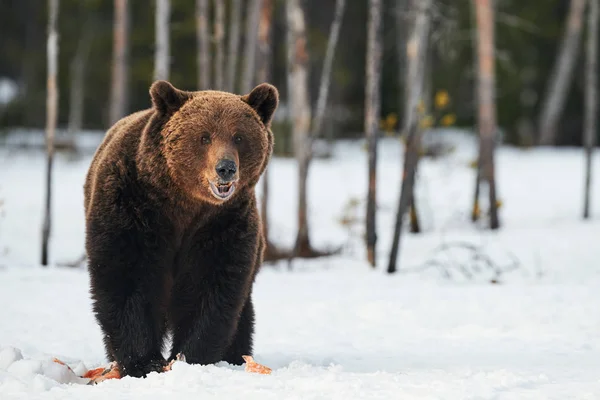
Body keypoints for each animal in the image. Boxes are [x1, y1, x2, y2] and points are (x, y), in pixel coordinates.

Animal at [83, 79, 278, 376]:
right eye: (204, 136)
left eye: (239, 137)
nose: (226, 168)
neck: (183, 205)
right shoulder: (131, 208)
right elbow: (127, 278)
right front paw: (144, 361)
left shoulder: (223, 225)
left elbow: (210, 288)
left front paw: (189, 357)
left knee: (242, 314)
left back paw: (237, 356)